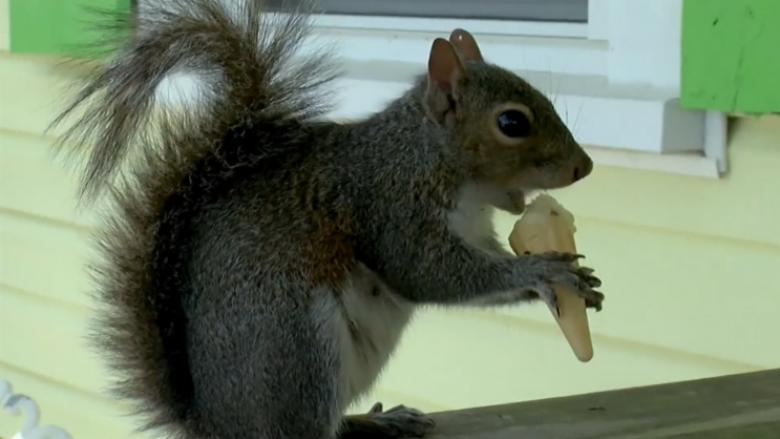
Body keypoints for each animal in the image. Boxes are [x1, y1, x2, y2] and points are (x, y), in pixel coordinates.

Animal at [50, 0, 604, 439]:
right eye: (512, 122)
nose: (584, 167)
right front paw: (541, 271)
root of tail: (215, 426)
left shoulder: (474, 229)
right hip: (297, 350)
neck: (431, 158)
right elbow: (428, 273)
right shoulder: (390, 204)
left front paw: (575, 281)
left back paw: (377, 421)